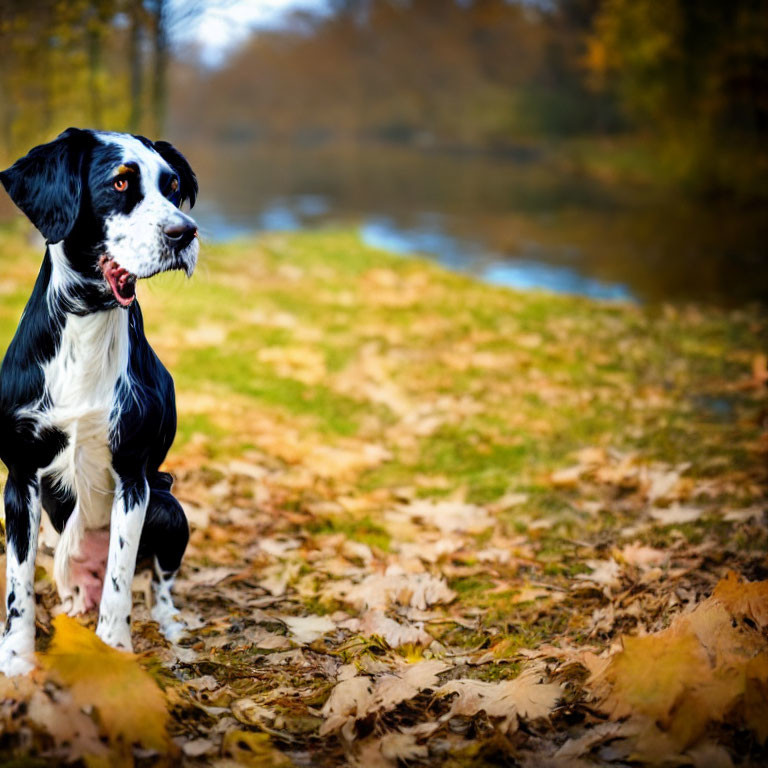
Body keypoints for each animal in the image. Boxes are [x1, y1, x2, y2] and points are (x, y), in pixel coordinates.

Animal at [0, 129, 201, 676]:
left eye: (173, 187)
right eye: (121, 183)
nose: (186, 233)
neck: (89, 319)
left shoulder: (133, 478)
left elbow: (120, 580)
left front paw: (114, 651)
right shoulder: (19, 479)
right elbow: (18, 586)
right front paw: (17, 661)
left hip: (169, 509)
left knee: (158, 583)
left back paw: (171, 625)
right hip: (63, 544)